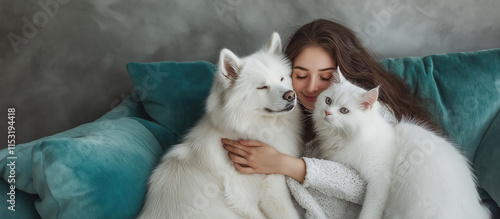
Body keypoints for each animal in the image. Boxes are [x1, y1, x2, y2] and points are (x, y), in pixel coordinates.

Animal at [312, 67, 488, 219]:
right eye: (328, 101)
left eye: (344, 111)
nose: (327, 112)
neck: (342, 137)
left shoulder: (380, 180)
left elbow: (370, 211)